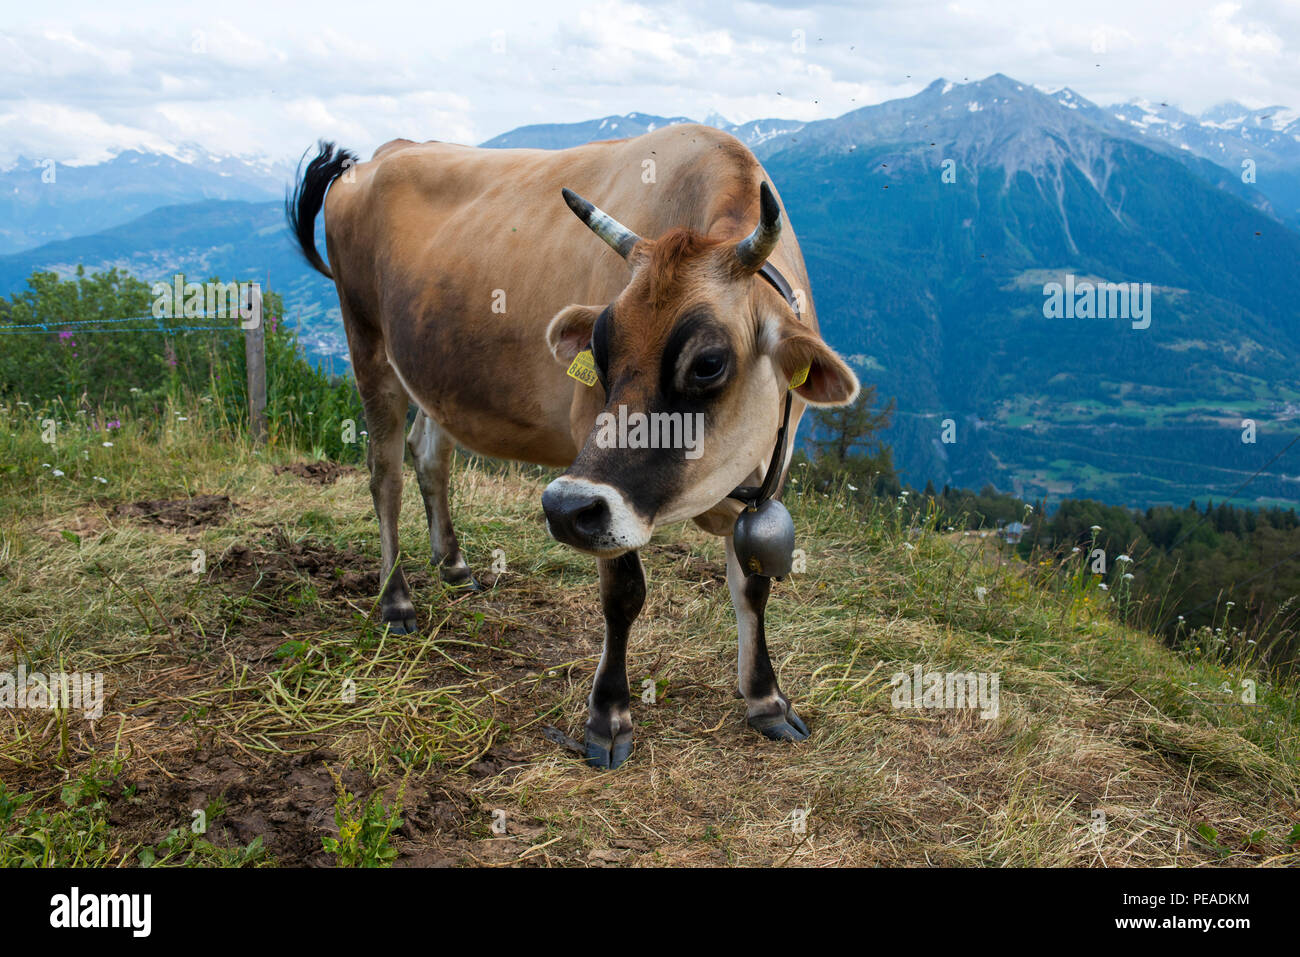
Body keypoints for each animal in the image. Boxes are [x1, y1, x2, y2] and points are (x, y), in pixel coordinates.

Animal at [287, 124, 860, 769]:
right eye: (600, 352)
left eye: (709, 363)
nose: (561, 509)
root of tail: (385, 151)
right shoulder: (598, 480)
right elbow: (624, 593)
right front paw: (608, 715)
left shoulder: (765, 479)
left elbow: (753, 586)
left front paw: (766, 699)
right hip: (366, 340)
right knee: (384, 473)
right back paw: (395, 600)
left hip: (437, 375)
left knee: (429, 454)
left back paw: (454, 565)